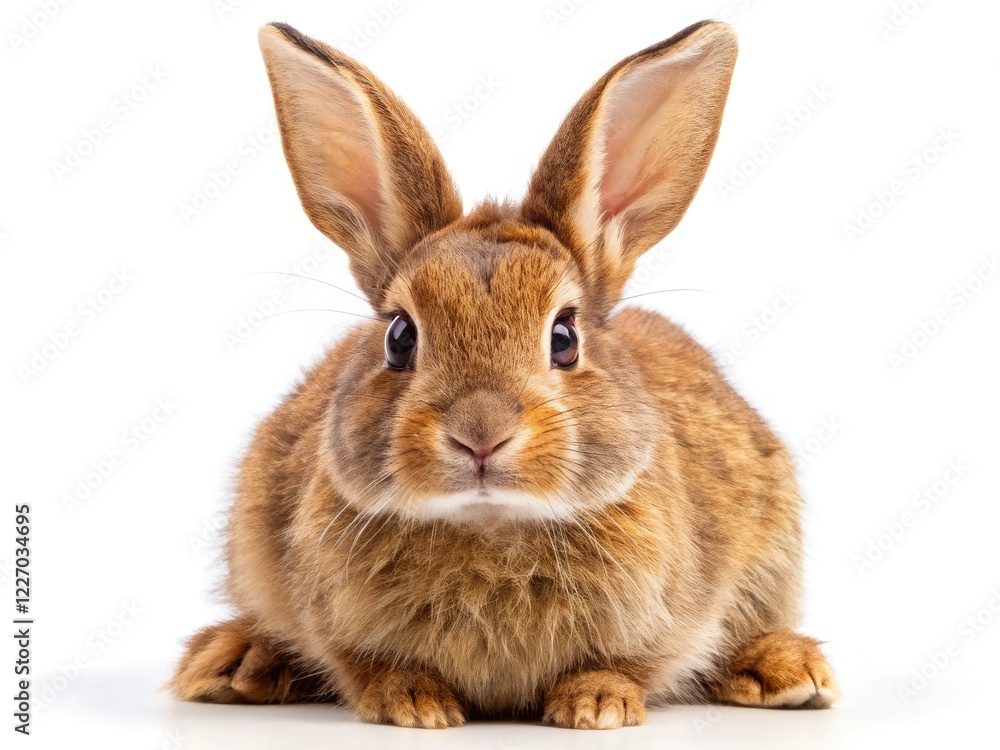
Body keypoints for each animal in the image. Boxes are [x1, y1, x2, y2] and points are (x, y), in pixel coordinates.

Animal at [170, 19, 841, 729]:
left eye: (564, 337)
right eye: (399, 337)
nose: (480, 435)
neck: (491, 527)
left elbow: (632, 661)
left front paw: (596, 705)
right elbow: (367, 665)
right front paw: (412, 705)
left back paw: (788, 671)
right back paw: (233, 663)